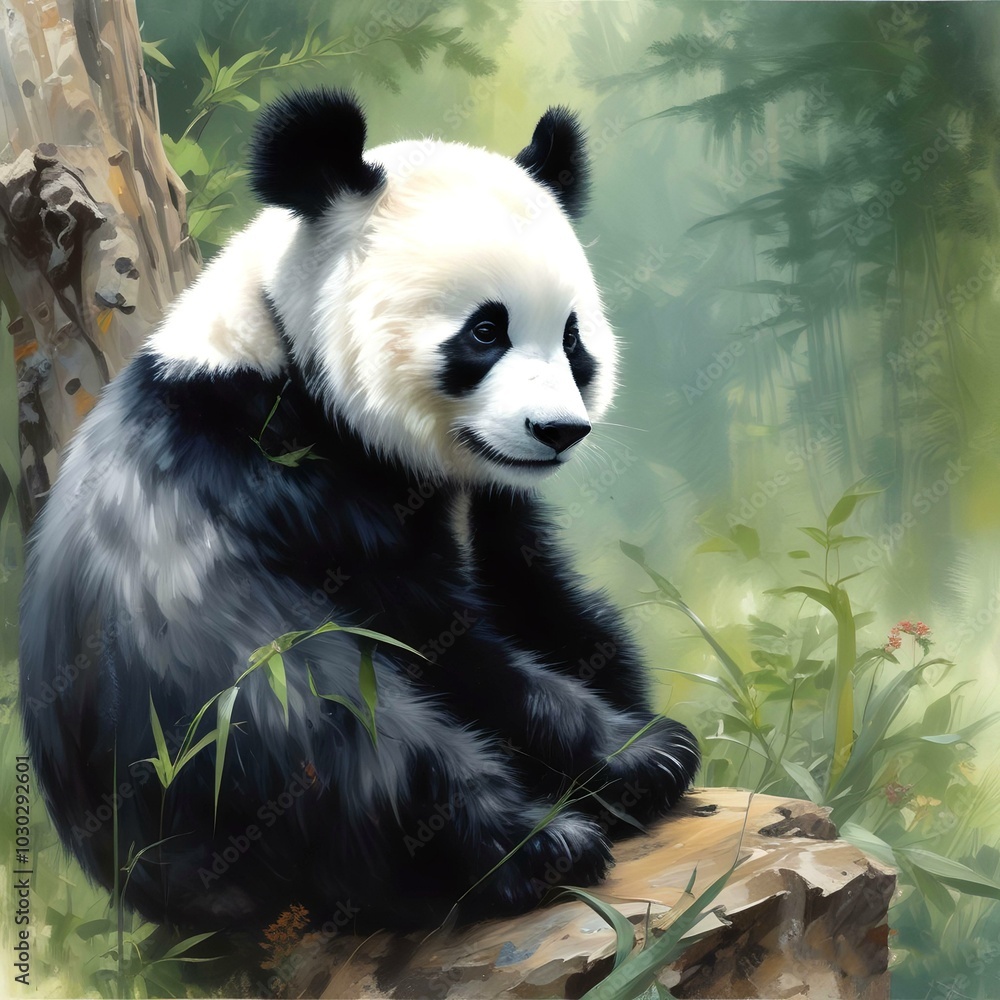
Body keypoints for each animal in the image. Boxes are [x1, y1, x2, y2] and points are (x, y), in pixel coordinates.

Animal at [19, 89, 699, 933]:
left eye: (573, 337)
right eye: (486, 329)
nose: (557, 431)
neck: (280, 346)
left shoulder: (489, 507)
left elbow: (548, 605)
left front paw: (634, 729)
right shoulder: (277, 476)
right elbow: (435, 640)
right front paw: (643, 752)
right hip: (207, 738)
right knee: (358, 739)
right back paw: (537, 847)